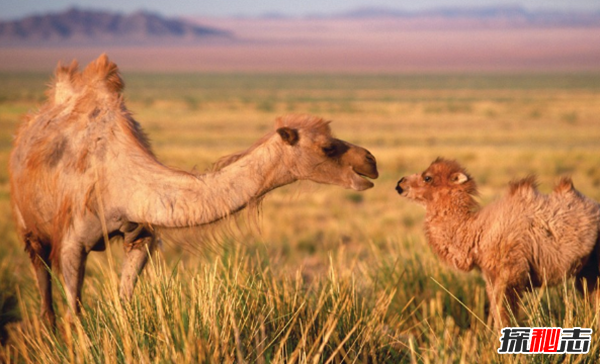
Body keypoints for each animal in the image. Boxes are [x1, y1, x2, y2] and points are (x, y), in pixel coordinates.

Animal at [398, 159, 600, 328]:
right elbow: (497, 313)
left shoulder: (509, 274)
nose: (400, 184)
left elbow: (504, 316)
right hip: (586, 272)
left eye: (427, 177)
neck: (477, 231)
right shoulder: (490, 277)